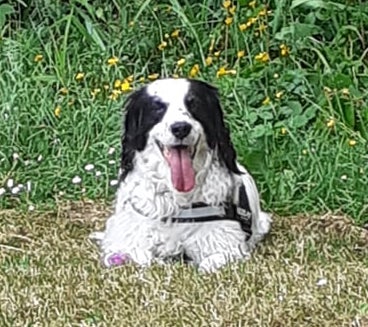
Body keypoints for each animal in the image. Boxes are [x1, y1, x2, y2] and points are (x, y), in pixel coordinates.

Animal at [90, 78, 272, 272]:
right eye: (158, 107)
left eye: (194, 104)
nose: (180, 128)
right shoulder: (128, 243)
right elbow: (141, 258)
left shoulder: (226, 245)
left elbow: (207, 264)